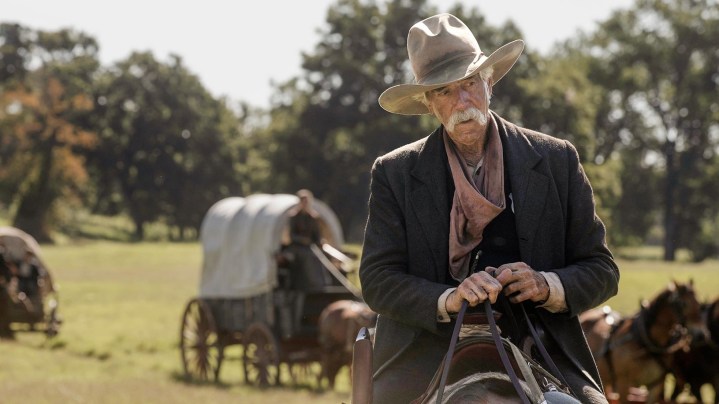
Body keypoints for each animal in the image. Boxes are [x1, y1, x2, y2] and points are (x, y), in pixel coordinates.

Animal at [580, 280, 708, 402]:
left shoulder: (655, 385)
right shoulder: (624, 384)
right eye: (684, 304)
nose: (701, 335)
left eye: (699, 303)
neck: (645, 343)